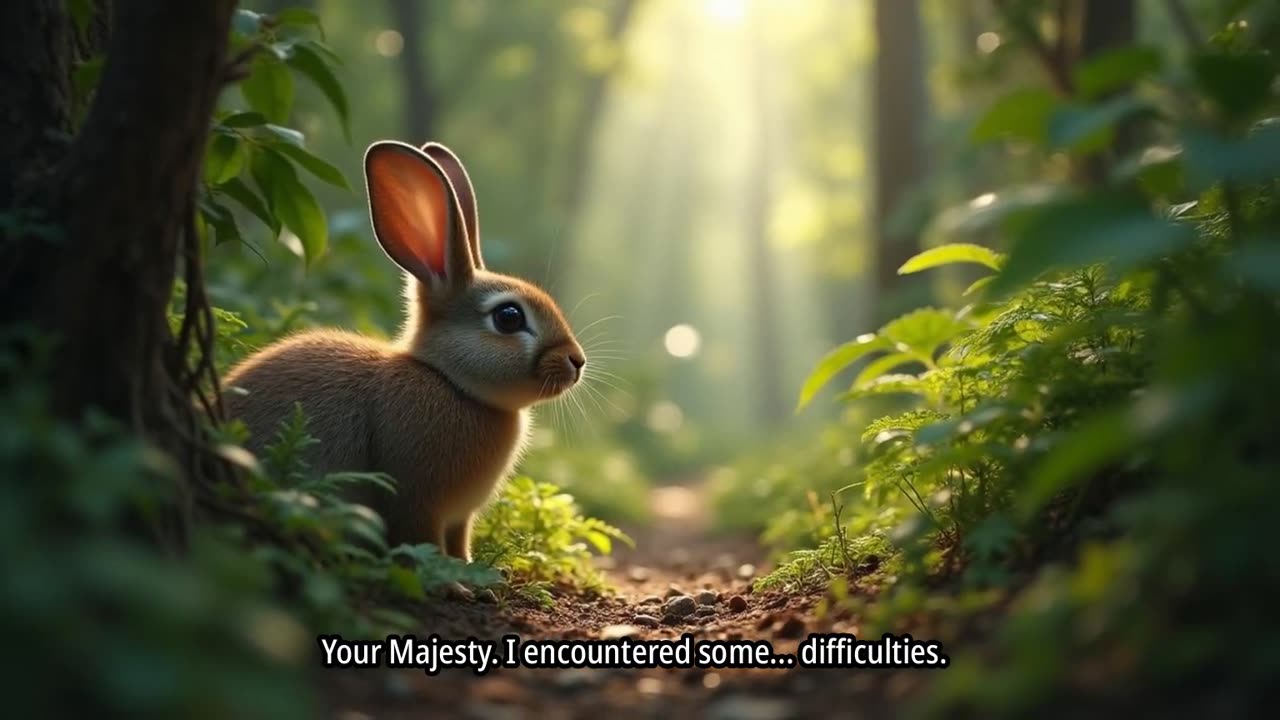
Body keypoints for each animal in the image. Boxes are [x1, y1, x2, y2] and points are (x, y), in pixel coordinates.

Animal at [223, 140, 586, 566]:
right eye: (509, 317)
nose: (576, 361)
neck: (451, 383)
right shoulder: (417, 502)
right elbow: (420, 540)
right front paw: (452, 578)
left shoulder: (459, 519)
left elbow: (459, 543)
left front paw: (469, 569)